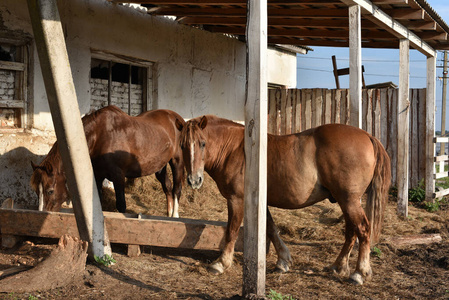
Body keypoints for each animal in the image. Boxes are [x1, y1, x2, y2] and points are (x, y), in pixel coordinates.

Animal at [31, 105, 185, 216]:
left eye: (50, 191)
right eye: (36, 191)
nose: (41, 213)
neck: (99, 136)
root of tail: (178, 119)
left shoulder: (118, 176)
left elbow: (121, 205)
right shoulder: (98, 176)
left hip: (177, 161)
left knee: (176, 189)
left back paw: (175, 216)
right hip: (160, 167)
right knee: (167, 187)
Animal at [177, 115, 390, 286]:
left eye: (202, 143)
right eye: (183, 145)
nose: (194, 180)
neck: (234, 149)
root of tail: (368, 136)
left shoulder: (236, 200)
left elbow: (231, 230)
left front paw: (221, 263)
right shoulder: (262, 202)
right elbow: (271, 229)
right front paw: (283, 261)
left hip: (349, 200)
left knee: (362, 229)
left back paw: (359, 273)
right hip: (346, 201)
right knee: (351, 231)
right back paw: (339, 266)